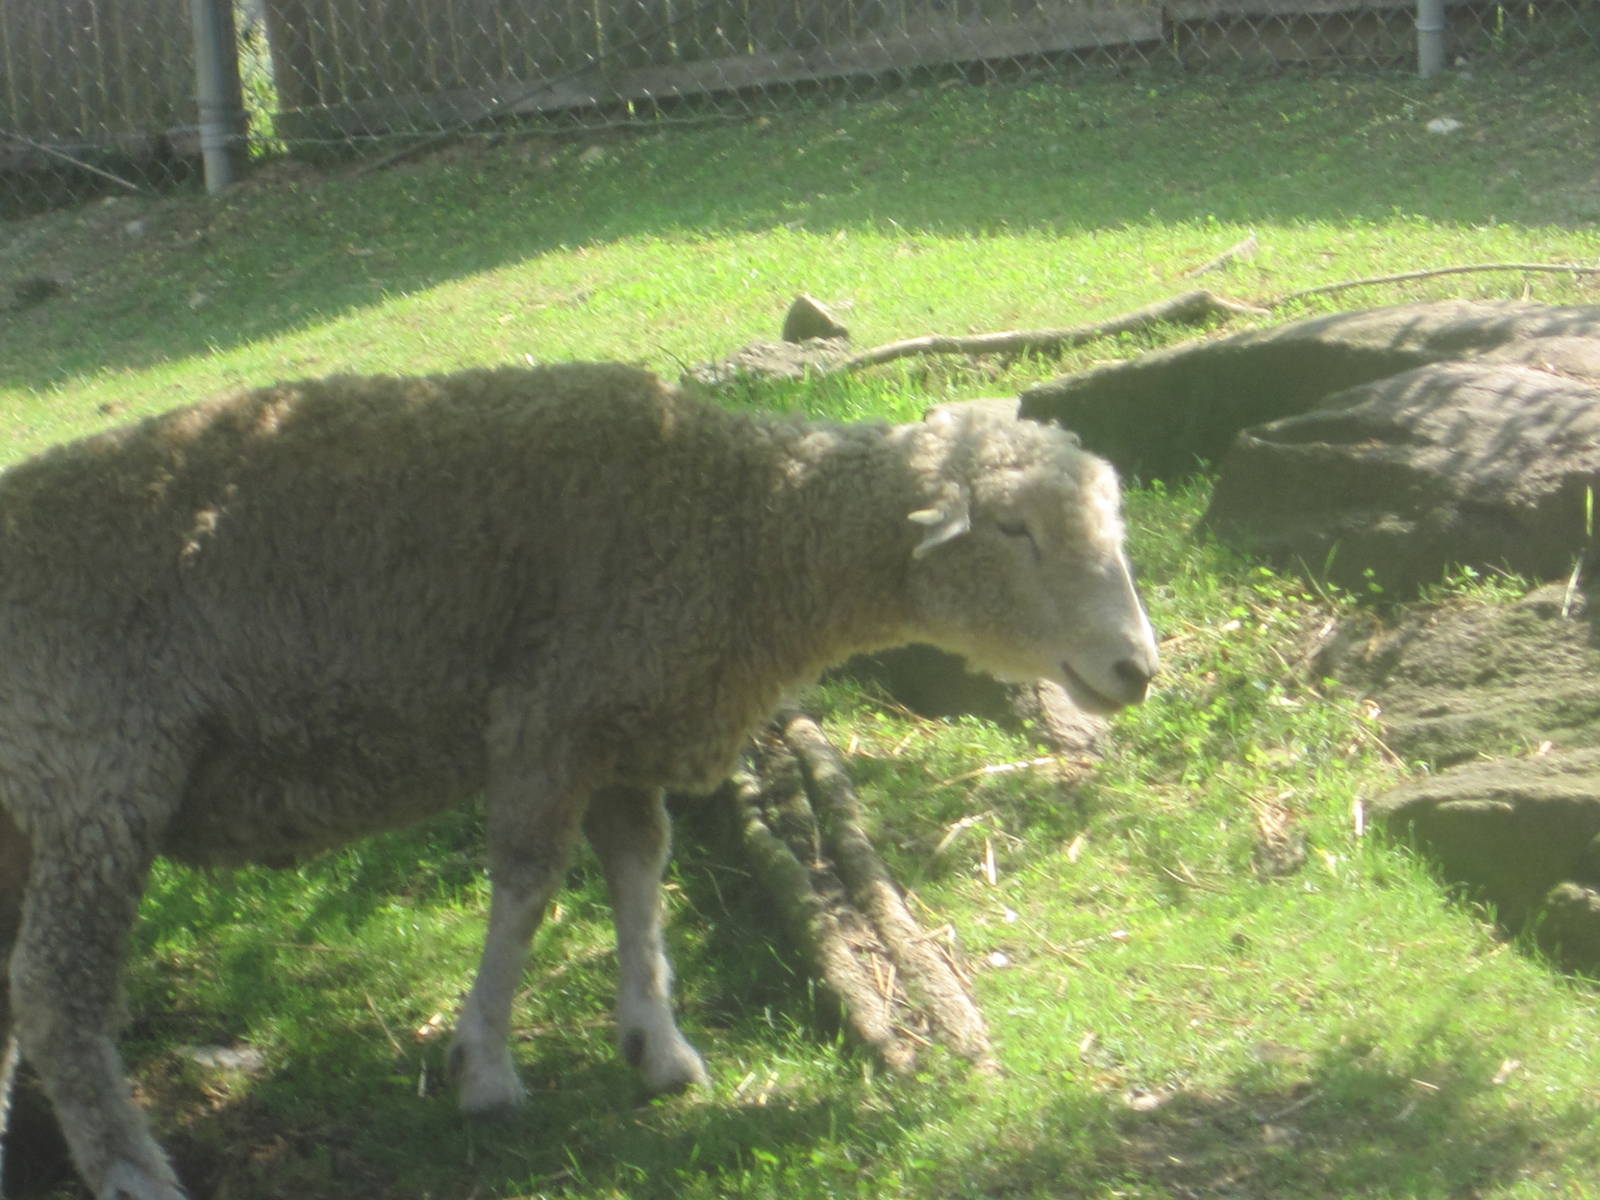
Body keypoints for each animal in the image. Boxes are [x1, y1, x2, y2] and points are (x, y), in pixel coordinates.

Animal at [0, 362, 1158, 1200]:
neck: (741, 532)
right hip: (97, 772)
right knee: (57, 997)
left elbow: (640, 874)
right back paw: (130, 1172)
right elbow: (526, 888)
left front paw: (656, 1044)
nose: (1136, 671)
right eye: (1014, 530)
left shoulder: (624, 726)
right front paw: (485, 1070)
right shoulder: (547, 713)